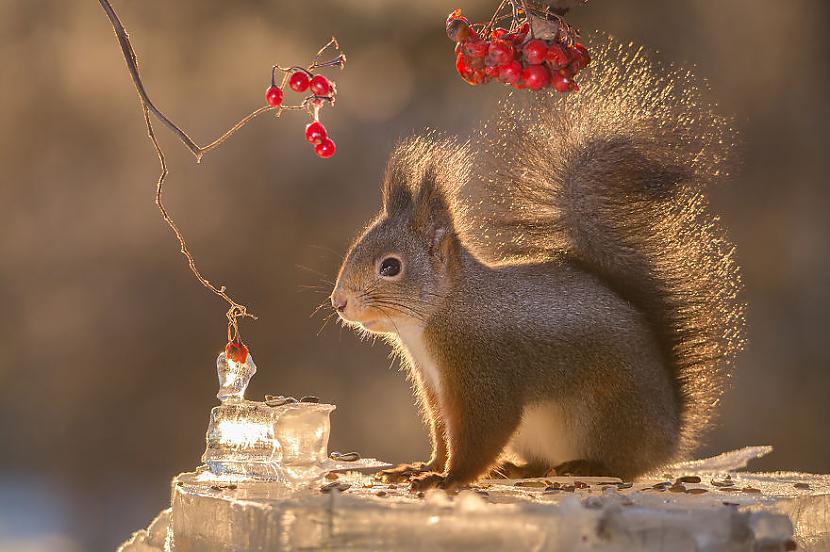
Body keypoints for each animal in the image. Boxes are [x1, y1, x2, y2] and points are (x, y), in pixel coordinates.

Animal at [328, 44, 744, 492]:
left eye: (391, 266)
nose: (339, 302)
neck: (442, 313)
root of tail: (669, 435)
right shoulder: (435, 389)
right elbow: (442, 434)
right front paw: (421, 467)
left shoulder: (483, 371)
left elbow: (482, 432)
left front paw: (446, 478)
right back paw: (520, 468)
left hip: (607, 417)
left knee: (624, 465)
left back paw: (588, 466)